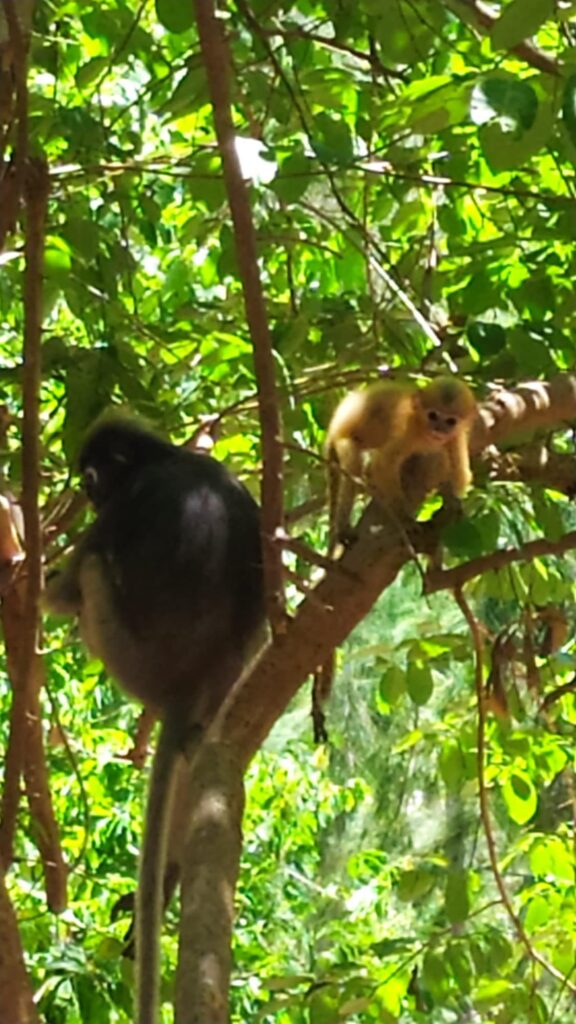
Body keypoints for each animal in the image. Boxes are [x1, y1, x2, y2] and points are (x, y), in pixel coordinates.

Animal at [44, 418, 265, 1024]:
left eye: (93, 478)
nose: (90, 494)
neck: (162, 458)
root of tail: (189, 680)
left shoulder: (125, 507)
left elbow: (61, 590)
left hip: (130, 653)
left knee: (90, 568)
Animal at [325, 377, 477, 546]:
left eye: (450, 421)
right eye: (433, 415)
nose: (438, 429)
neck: (422, 427)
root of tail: (333, 427)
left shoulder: (455, 437)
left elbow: (460, 472)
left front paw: (452, 500)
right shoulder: (406, 428)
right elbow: (383, 464)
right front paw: (404, 519)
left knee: (439, 457)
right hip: (342, 438)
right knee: (354, 466)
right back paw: (343, 527)